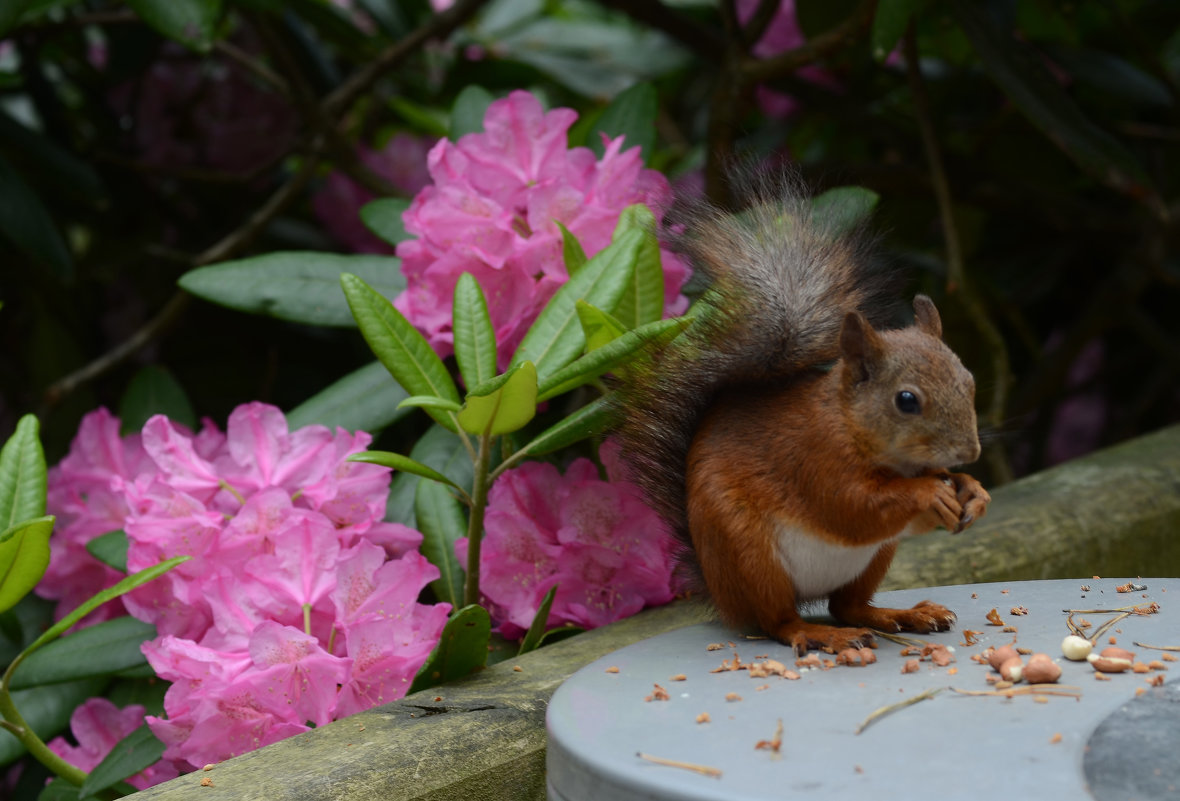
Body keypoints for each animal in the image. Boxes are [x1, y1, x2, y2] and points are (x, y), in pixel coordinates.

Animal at [613, 178, 991, 655]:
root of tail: (718, 591)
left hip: (873, 558)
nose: (969, 451)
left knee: (849, 605)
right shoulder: (814, 458)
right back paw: (817, 632)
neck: (851, 424)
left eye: (969, 379)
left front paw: (972, 490)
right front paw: (927, 494)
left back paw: (902, 614)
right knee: (779, 621)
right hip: (751, 555)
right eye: (906, 400)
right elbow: (852, 507)